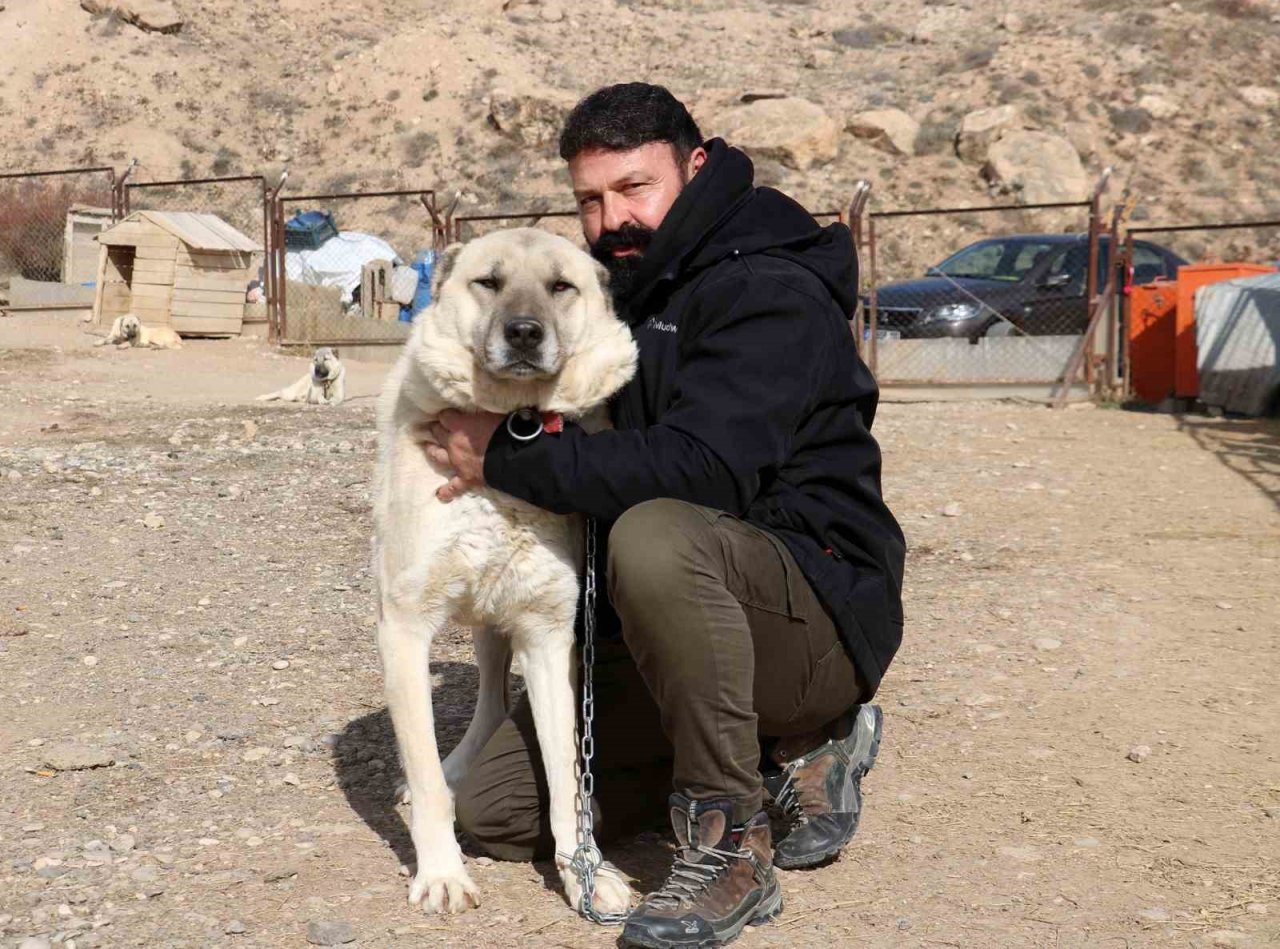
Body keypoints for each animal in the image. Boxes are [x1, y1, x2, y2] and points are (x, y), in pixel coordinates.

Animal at [373, 225, 640, 911]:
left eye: (560, 286)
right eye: (488, 282)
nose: (523, 332)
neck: (510, 432)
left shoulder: (548, 638)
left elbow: (568, 779)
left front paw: (585, 873)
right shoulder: (403, 629)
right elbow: (426, 775)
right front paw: (442, 872)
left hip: (500, 617)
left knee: (494, 701)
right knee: (481, 711)